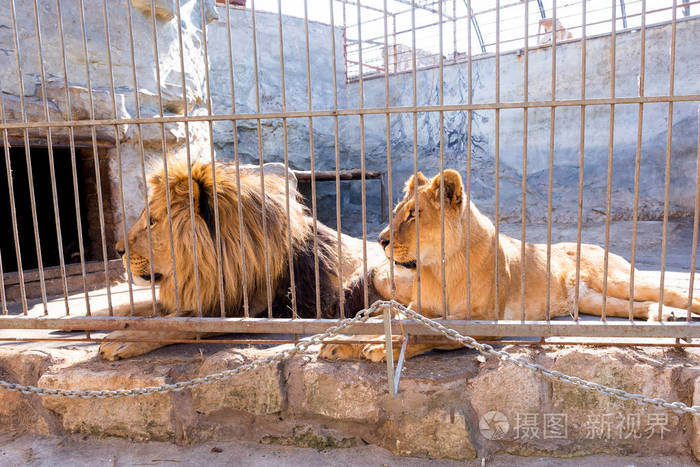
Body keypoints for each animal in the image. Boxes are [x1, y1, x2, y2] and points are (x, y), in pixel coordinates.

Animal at [98, 159, 410, 360]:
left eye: (152, 221)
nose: (117, 249)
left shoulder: (249, 310)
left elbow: (178, 324)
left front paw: (117, 341)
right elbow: (129, 308)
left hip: (380, 274)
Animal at [322, 168, 700, 362]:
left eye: (414, 215)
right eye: (397, 212)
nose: (381, 239)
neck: (440, 268)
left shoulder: (485, 321)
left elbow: (427, 332)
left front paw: (376, 347)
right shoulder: (418, 307)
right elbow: (388, 321)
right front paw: (340, 343)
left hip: (615, 278)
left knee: (673, 290)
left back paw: (678, 314)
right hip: (591, 299)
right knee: (637, 304)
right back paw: (661, 316)